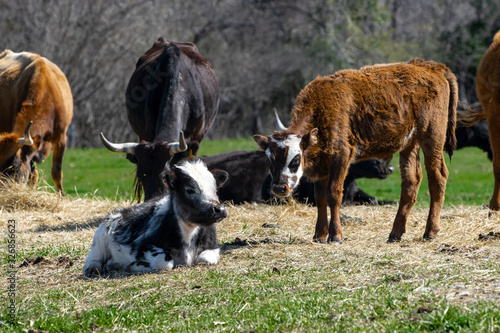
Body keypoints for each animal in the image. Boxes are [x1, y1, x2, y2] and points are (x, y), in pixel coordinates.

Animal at [83, 158, 229, 274]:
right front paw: (135, 266)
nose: (219, 209)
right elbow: (164, 262)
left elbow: (205, 259)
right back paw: (97, 267)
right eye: (189, 190)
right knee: (92, 260)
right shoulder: (143, 246)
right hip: (100, 236)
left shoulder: (213, 245)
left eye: (215, 189)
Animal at [256, 58, 456, 243]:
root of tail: (430, 66)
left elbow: (333, 194)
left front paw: (335, 235)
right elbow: (320, 197)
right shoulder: (322, 166)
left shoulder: (341, 157)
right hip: (409, 144)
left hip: (431, 138)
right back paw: (395, 233)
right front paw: (319, 234)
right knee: (411, 182)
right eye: (269, 160)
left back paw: (430, 231)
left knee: (437, 177)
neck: (323, 108)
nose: (280, 187)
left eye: (296, 159)